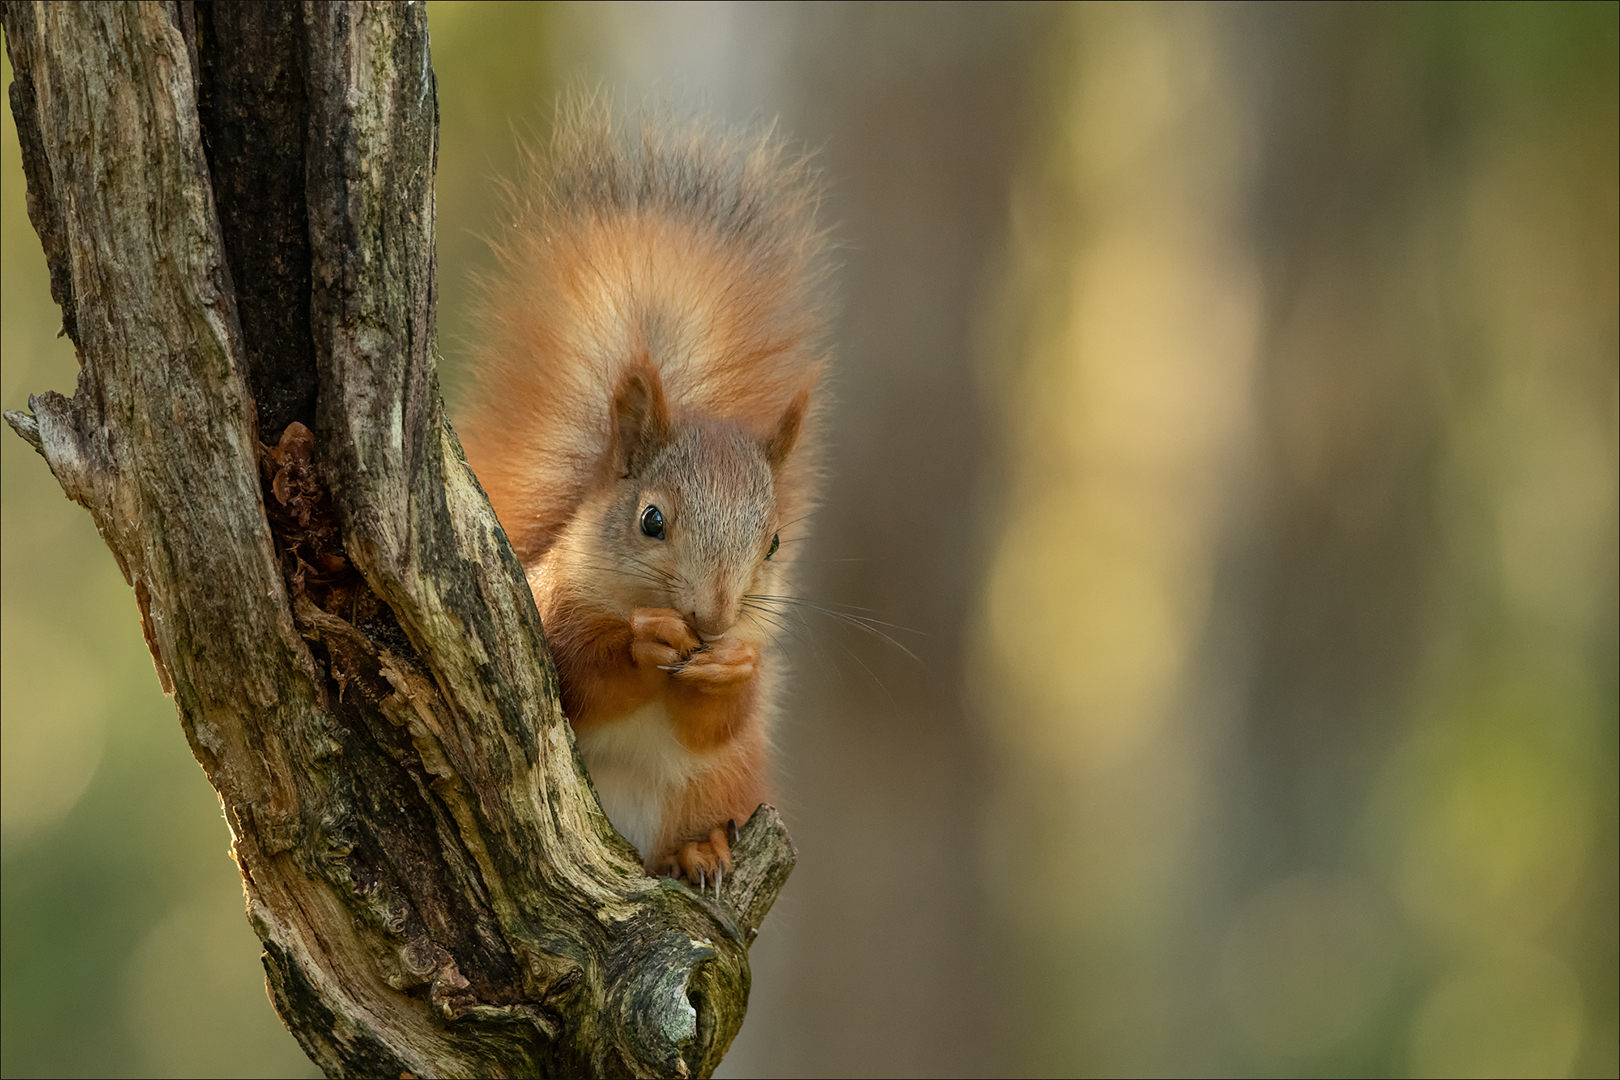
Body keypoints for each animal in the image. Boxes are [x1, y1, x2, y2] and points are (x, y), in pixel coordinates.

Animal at [463, 105, 829, 893]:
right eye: (651, 520)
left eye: (774, 543)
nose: (712, 620)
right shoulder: (543, 606)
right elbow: (576, 670)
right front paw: (644, 641)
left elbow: (723, 719)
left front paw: (726, 673)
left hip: (719, 787)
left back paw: (699, 853)